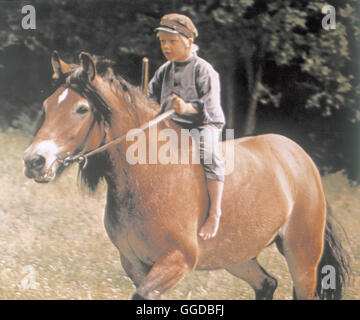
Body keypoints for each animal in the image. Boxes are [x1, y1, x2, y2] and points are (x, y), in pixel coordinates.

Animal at [22, 51, 348, 298]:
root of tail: (302, 160)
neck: (148, 176)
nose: (34, 160)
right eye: (47, 105)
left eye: (81, 108)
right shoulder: (135, 264)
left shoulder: (177, 261)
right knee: (267, 284)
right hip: (238, 256)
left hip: (302, 256)